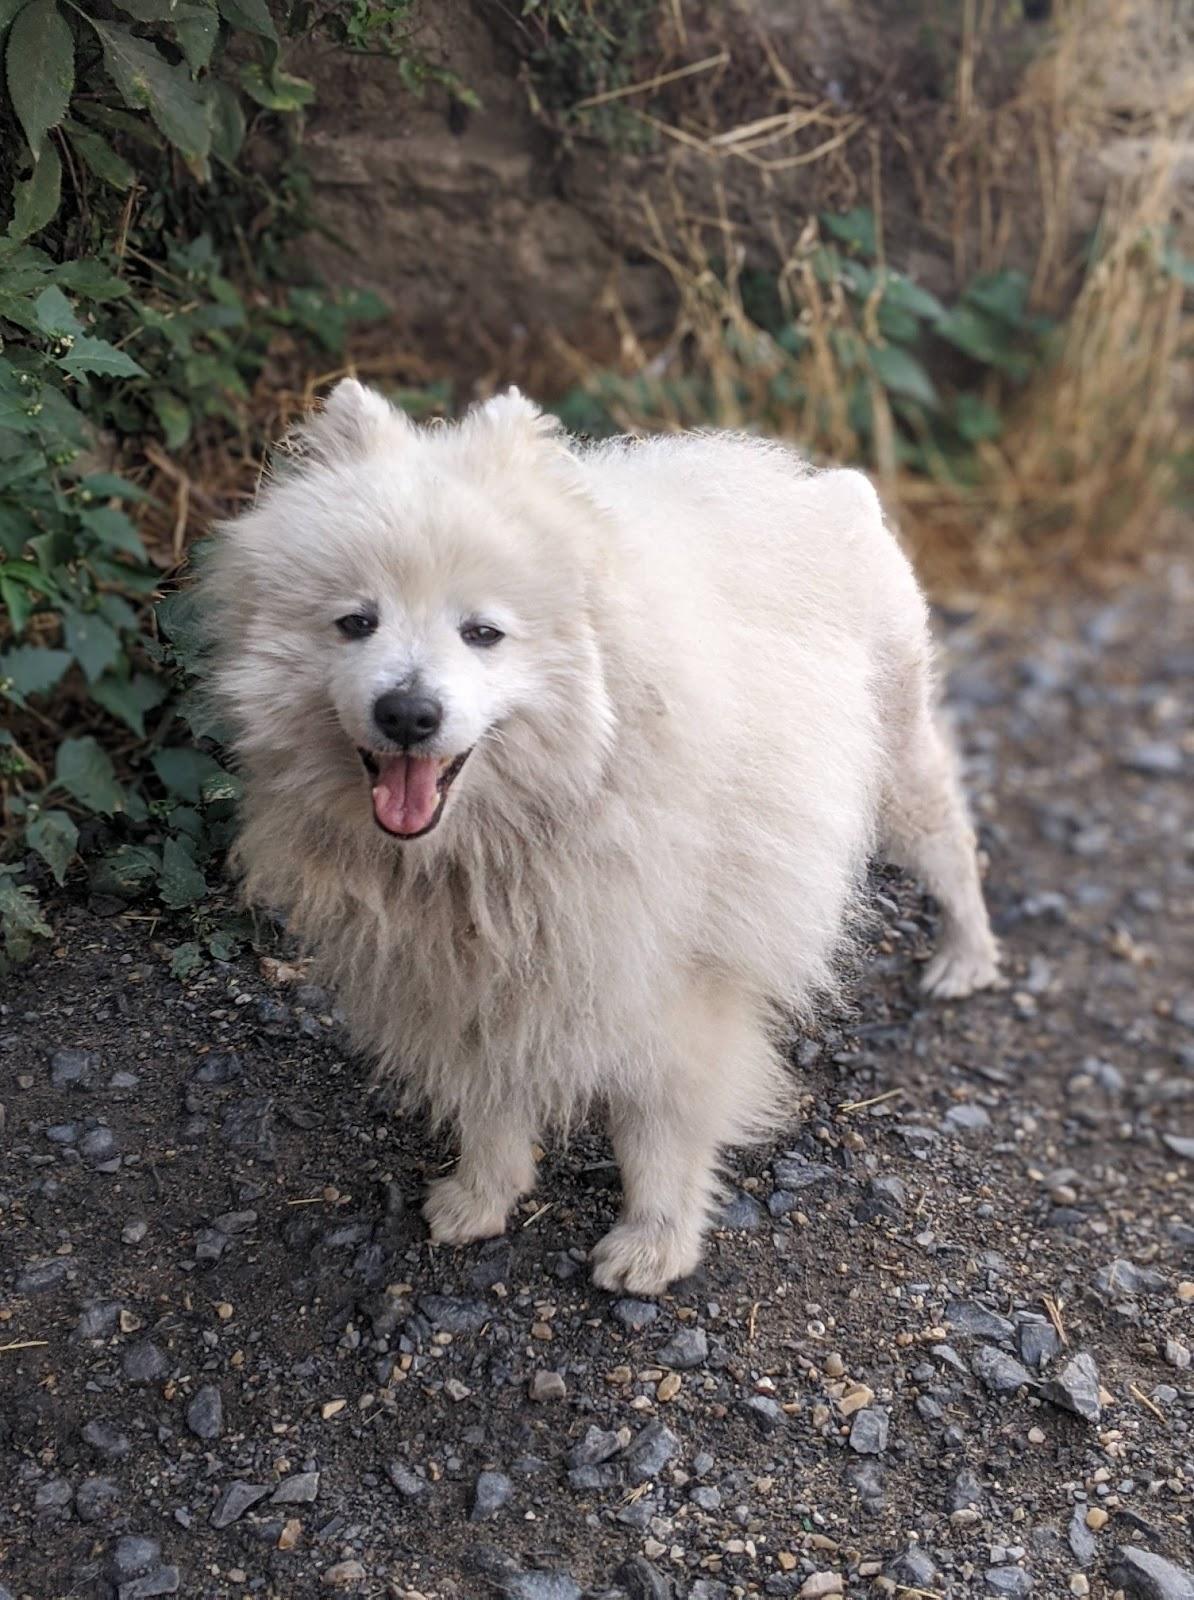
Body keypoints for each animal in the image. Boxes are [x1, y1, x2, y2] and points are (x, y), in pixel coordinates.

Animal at [202, 384, 992, 1299]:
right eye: (355, 623)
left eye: (482, 633)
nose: (408, 713)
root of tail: (834, 491)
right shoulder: (472, 973)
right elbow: (489, 1099)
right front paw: (484, 1194)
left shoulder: (674, 978)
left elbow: (661, 1124)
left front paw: (656, 1241)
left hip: (899, 772)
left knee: (956, 848)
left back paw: (967, 959)